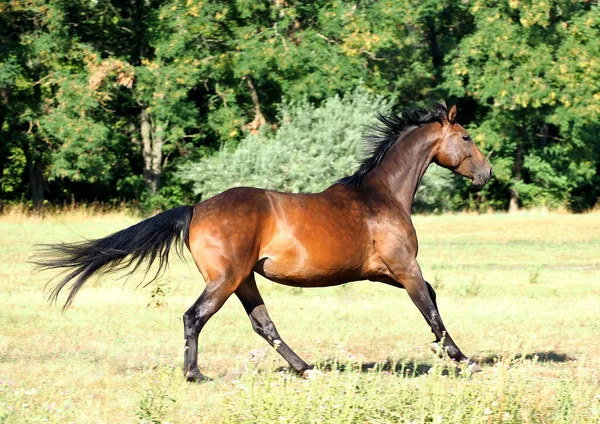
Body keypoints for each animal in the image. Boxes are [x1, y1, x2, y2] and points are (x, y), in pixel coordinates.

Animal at [34, 102, 492, 380]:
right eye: (467, 137)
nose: (487, 174)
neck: (381, 196)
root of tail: (196, 209)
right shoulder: (402, 266)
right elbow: (429, 307)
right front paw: (463, 359)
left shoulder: (382, 271)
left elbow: (431, 299)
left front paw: (444, 352)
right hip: (227, 279)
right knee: (194, 317)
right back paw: (195, 374)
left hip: (245, 280)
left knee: (263, 323)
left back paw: (306, 368)